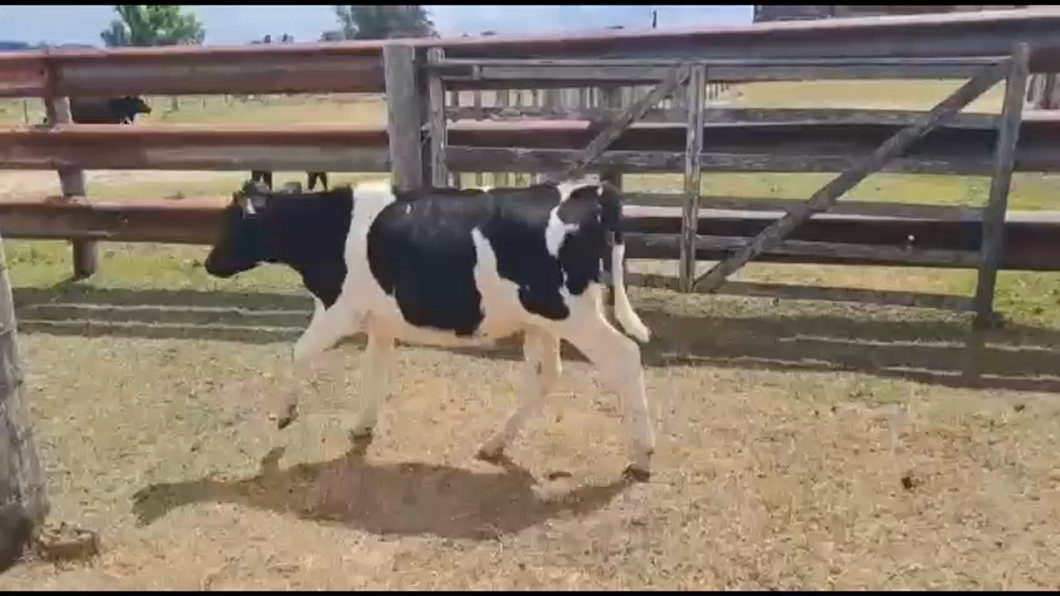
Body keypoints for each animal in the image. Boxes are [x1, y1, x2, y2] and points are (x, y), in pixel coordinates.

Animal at [203, 177, 656, 480]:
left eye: (233, 223)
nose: (208, 262)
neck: (329, 230)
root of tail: (589, 190)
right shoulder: (380, 322)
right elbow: (373, 371)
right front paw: (361, 426)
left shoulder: (341, 310)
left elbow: (300, 350)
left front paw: (285, 414)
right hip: (544, 320)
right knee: (546, 375)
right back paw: (495, 444)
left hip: (575, 314)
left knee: (624, 357)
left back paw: (643, 455)